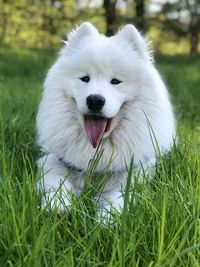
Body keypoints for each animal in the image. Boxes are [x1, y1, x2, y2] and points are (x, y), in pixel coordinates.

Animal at [36, 22, 175, 215]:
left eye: (115, 81)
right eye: (85, 78)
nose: (95, 100)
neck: (96, 150)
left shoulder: (131, 173)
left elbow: (117, 199)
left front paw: (106, 218)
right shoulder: (54, 160)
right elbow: (56, 183)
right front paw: (57, 207)